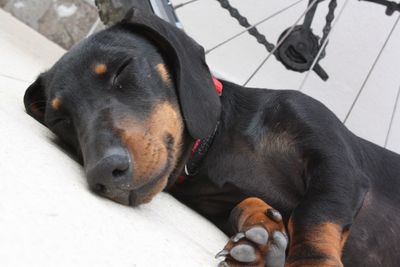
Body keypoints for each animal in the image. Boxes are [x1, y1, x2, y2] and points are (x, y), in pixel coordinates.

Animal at [24, 8, 400, 267]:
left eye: (122, 69)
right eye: (60, 119)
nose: (104, 173)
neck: (220, 143)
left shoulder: (335, 158)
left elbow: (314, 214)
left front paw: (308, 259)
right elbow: (246, 205)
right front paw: (261, 237)